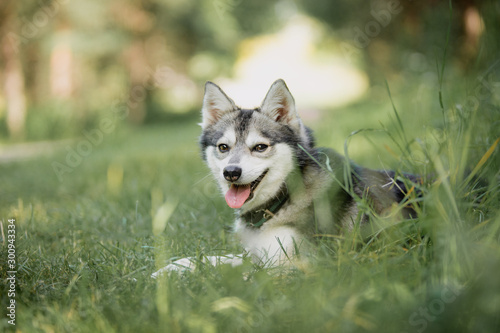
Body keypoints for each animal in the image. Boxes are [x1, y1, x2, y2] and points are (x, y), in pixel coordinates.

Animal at [151, 79, 418, 276]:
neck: (283, 198)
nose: (231, 173)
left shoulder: (296, 266)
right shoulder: (256, 254)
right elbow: (212, 258)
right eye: (223, 147)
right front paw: (171, 269)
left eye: (260, 147)